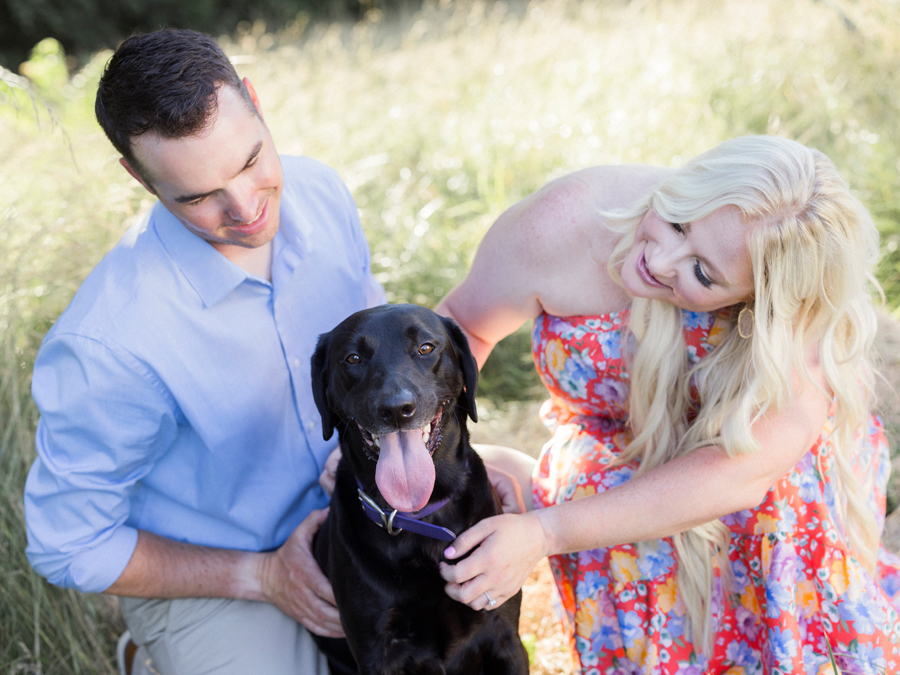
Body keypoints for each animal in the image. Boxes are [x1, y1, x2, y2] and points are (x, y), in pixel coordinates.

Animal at [312, 304, 532, 675]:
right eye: (353, 358)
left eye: (426, 348)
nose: (395, 410)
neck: (420, 517)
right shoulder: (377, 652)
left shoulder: (505, 635)